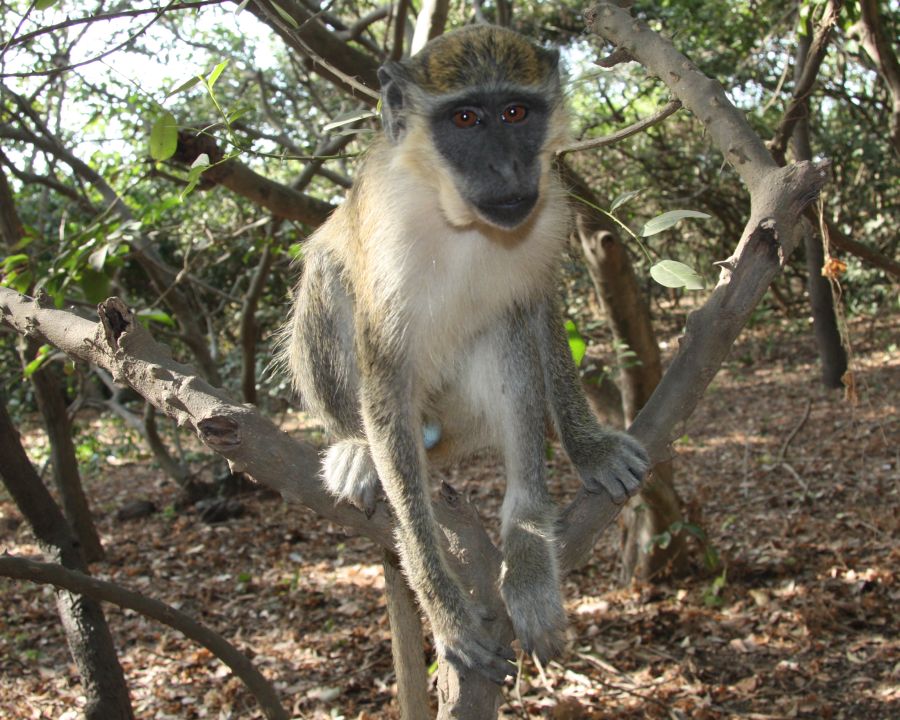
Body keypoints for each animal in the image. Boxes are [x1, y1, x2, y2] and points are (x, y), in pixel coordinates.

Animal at [282, 25, 649, 683]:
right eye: (465, 118)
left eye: (515, 113)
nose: (507, 166)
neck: (457, 216)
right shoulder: (387, 235)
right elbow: (386, 382)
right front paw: (444, 608)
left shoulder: (547, 210)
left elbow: (537, 308)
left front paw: (589, 449)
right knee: (327, 272)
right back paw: (354, 446)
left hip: (465, 415)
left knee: (507, 328)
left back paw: (526, 536)